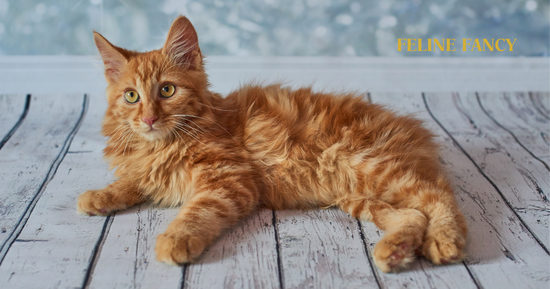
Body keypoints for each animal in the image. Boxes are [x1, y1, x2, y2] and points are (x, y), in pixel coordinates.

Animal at [78, 15, 470, 272]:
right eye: (131, 96)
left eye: (167, 90)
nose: (148, 119)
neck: (163, 144)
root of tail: (414, 128)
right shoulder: (150, 169)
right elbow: (133, 180)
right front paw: (99, 195)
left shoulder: (229, 180)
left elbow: (196, 211)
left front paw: (176, 238)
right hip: (357, 193)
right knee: (413, 214)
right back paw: (396, 250)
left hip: (371, 166)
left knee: (438, 199)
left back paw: (444, 241)